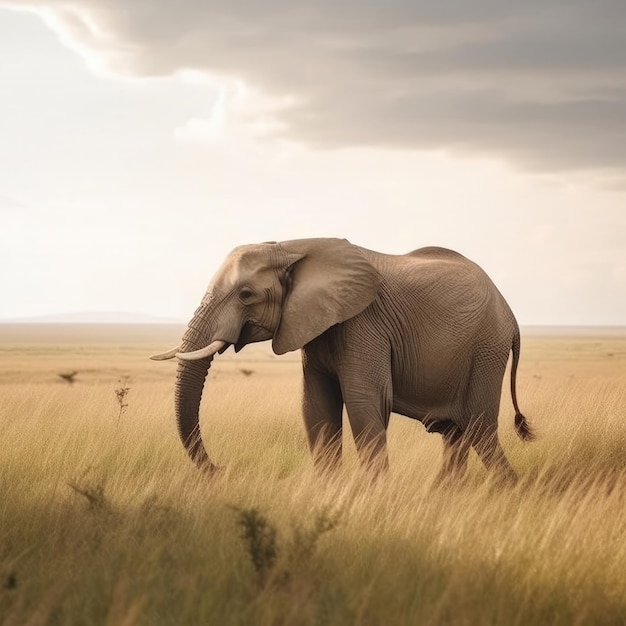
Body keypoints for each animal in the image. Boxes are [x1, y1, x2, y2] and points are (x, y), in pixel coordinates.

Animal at [149, 236, 528, 480]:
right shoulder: (315, 325)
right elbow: (316, 405)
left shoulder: (364, 323)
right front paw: (328, 489)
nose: (222, 469)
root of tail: (511, 315)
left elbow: (363, 402)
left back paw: (508, 488)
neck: (292, 246)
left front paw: (376, 495)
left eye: (245, 295)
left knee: (479, 428)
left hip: (485, 349)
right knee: (455, 434)